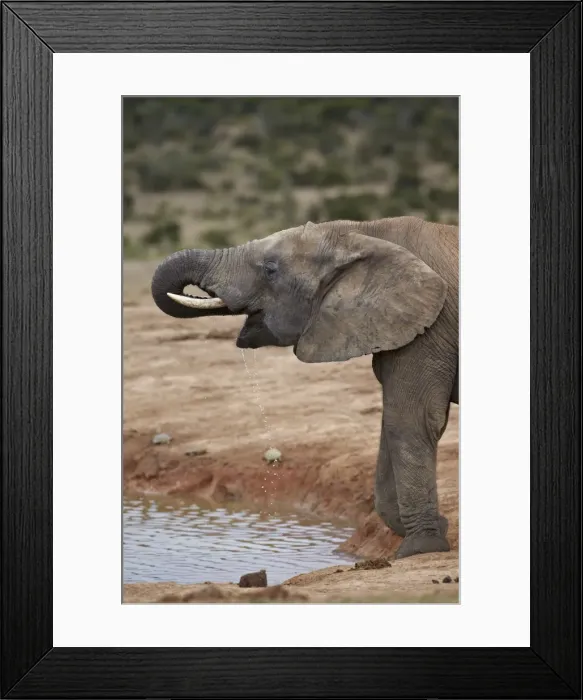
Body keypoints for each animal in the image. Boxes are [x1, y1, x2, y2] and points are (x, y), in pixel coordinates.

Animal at [151, 217, 458, 559]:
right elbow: (393, 422)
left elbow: (408, 421)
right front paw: (439, 528)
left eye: (270, 269)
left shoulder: (432, 327)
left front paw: (420, 550)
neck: (364, 231)